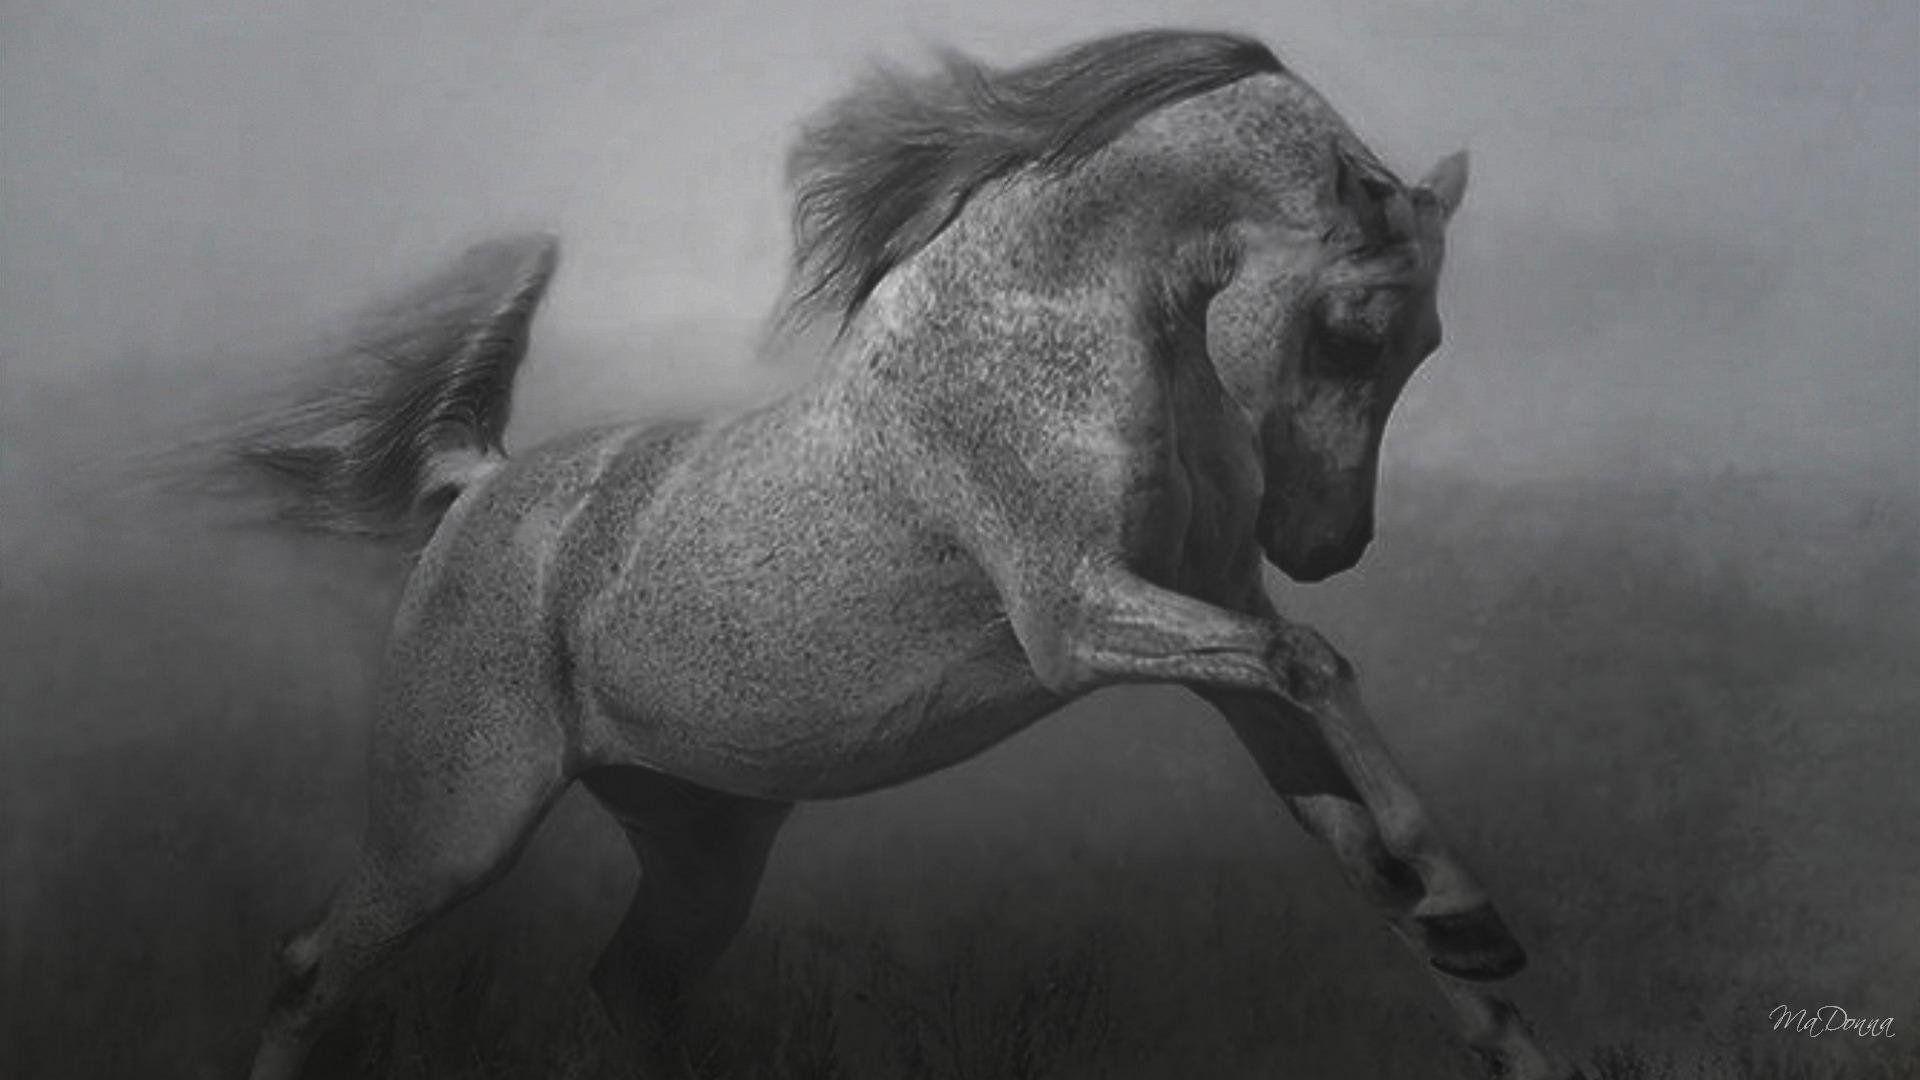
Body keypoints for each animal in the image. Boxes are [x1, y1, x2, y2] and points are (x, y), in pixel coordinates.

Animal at [232, 29, 1571, 1080]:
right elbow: (1311, 660)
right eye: (1354, 330)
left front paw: (1483, 971)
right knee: (306, 969)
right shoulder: (1077, 618)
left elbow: (1355, 843)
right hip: (454, 827)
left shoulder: (1206, 614)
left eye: (1428, 343)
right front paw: (1472, 911)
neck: (1066, 319)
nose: (1329, 543)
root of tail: (477, 485)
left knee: (631, 989)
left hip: (700, 840)